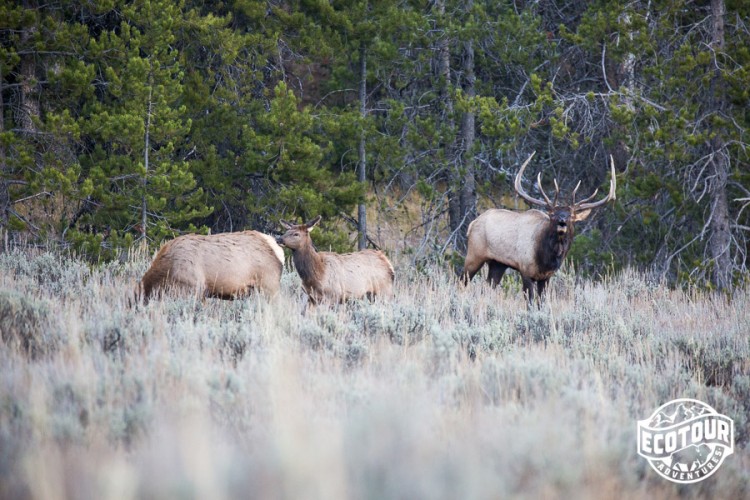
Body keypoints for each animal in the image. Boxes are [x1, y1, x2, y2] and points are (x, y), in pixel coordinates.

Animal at [464, 150, 616, 302]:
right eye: (552, 214)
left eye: (571, 216)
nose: (562, 221)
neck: (547, 258)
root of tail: (472, 224)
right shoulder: (525, 270)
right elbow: (530, 301)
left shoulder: (546, 277)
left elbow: (541, 302)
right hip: (474, 254)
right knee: (463, 280)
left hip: (498, 263)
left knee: (487, 287)